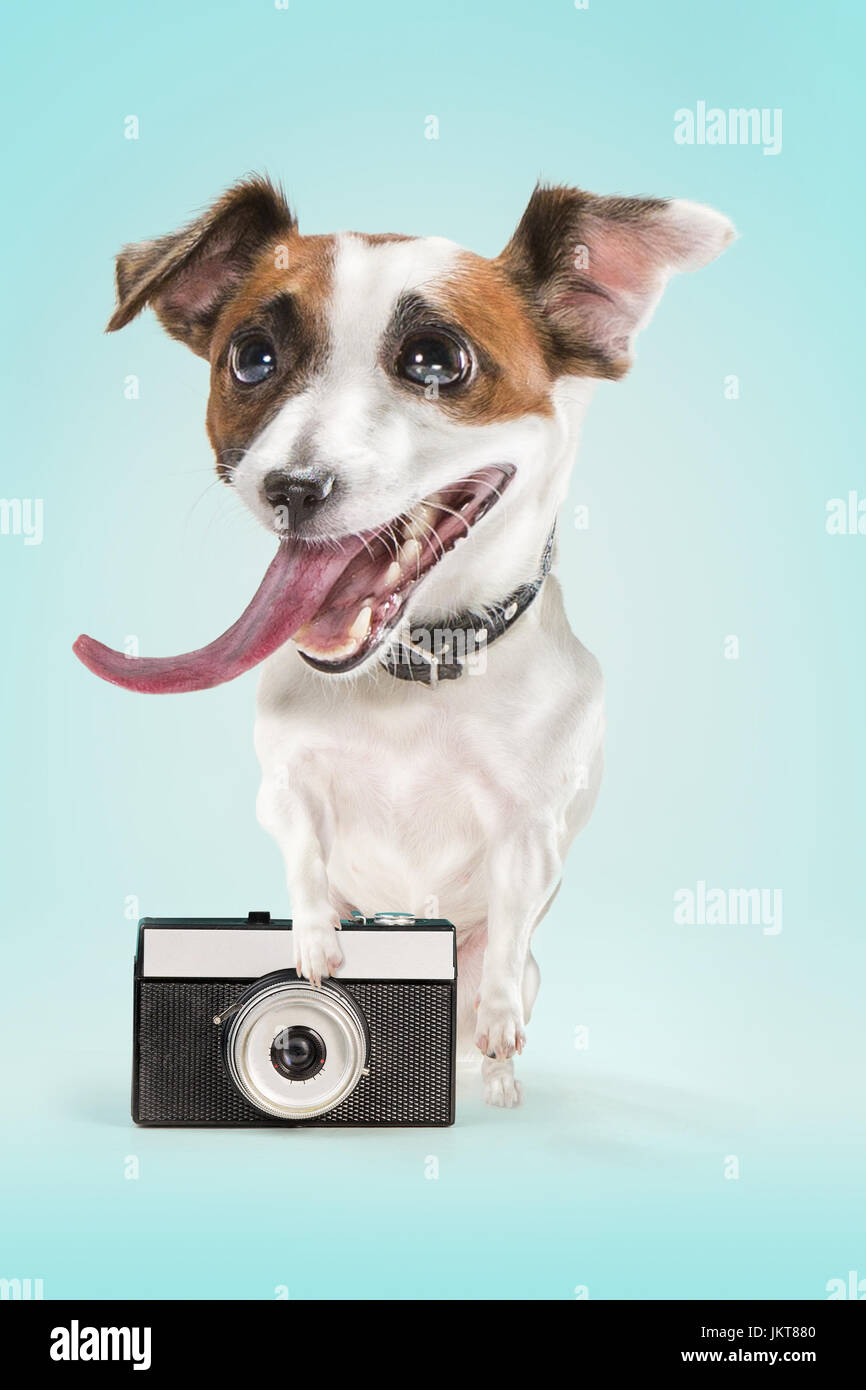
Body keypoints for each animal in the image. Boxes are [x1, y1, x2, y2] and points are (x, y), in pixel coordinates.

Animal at [77, 176, 733, 1106]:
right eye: (251, 358)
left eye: (434, 361)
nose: (291, 487)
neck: (413, 668)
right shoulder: (284, 787)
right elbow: (305, 852)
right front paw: (313, 939)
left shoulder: (529, 831)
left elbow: (509, 934)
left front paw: (496, 1026)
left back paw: (494, 1075)